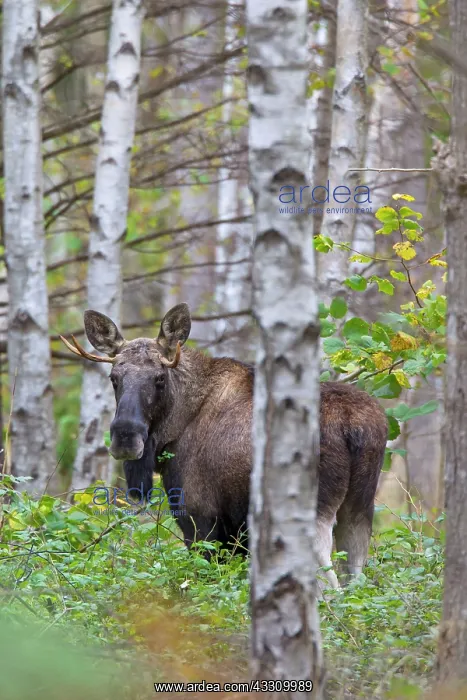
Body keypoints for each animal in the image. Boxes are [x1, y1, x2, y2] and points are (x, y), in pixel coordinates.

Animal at [61, 303, 388, 590]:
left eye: (159, 378)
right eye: (114, 378)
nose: (125, 437)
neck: (176, 427)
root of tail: (354, 426)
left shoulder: (200, 519)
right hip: (359, 508)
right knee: (355, 580)